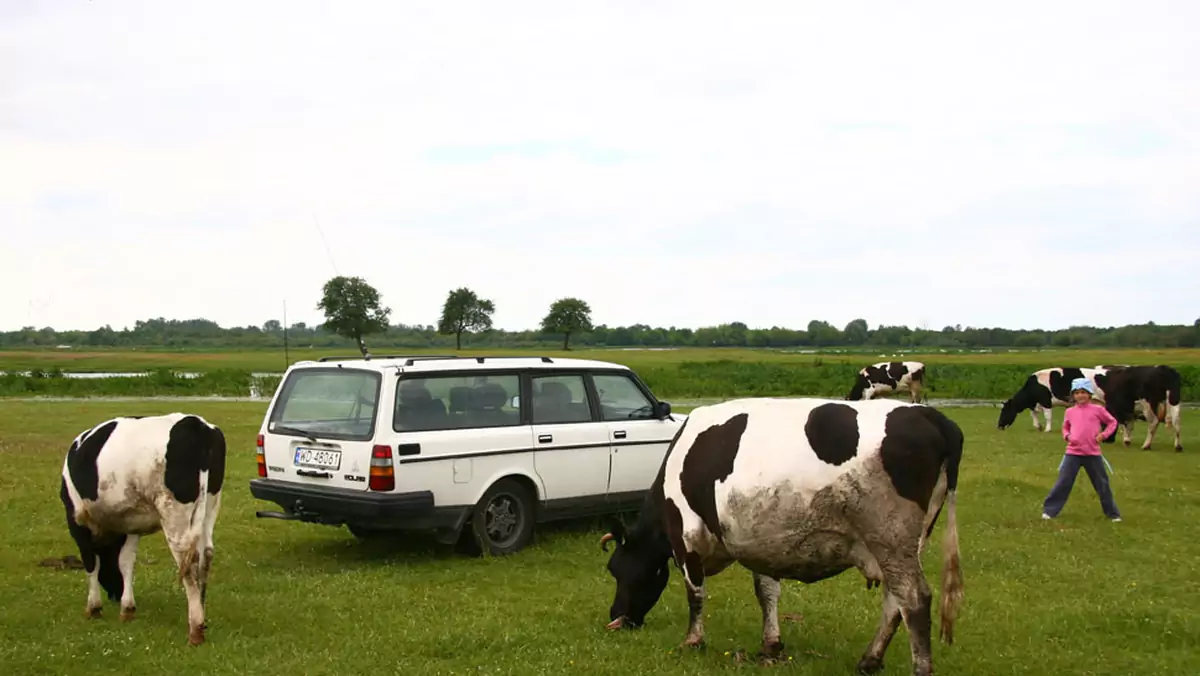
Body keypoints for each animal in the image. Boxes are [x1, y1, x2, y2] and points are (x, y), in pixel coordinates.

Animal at [59, 413, 225, 643]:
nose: (114, 594)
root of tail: (196, 423)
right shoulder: (130, 523)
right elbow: (126, 562)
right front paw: (127, 608)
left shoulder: (77, 519)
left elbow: (91, 563)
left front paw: (94, 607)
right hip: (210, 505)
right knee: (206, 555)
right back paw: (202, 610)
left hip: (174, 514)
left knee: (188, 562)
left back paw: (196, 626)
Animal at [600, 396, 964, 676]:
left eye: (617, 569)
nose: (615, 616)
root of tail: (929, 414)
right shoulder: (761, 543)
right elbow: (767, 592)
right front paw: (770, 644)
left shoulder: (686, 536)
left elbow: (695, 593)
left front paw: (693, 640)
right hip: (907, 543)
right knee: (894, 601)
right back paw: (869, 660)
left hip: (890, 536)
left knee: (914, 599)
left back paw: (919, 667)